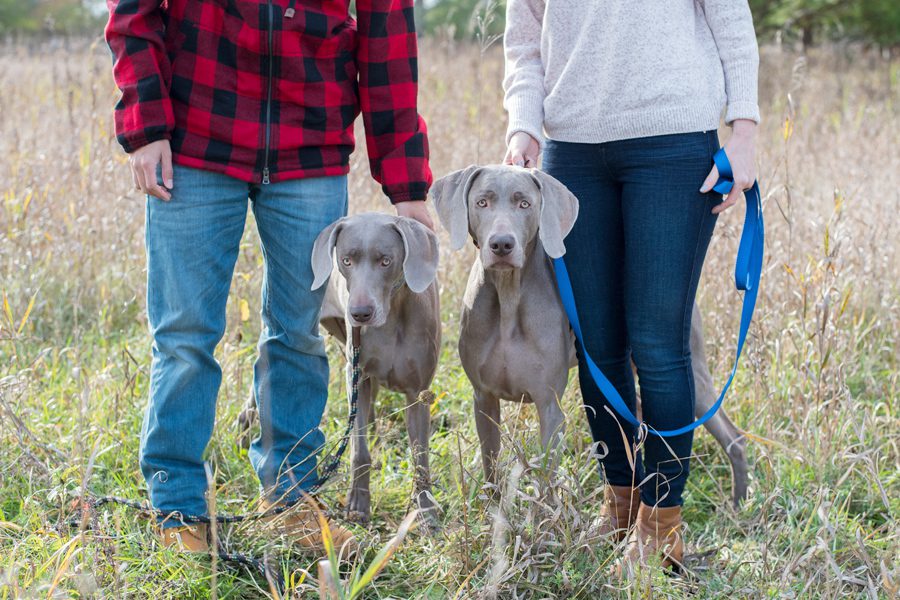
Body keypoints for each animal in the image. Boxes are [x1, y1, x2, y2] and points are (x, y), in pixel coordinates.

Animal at [239, 211, 442, 524]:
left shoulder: (418, 392)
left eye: (386, 260)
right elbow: (359, 451)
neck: (393, 312)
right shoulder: (356, 378)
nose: (359, 313)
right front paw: (357, 504)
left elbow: (420, 458)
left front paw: (426, 513)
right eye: (346, 260)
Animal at [432, 164, 748, 506]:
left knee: (734, 437)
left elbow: (546, 483)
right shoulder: (484, 398)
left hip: (692, 374)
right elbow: (491, 467)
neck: (508, 297)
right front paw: (492, 511)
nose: (502, 245)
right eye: (482, 202)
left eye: (524, 204)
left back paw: (738, 503)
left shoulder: (549, 405)